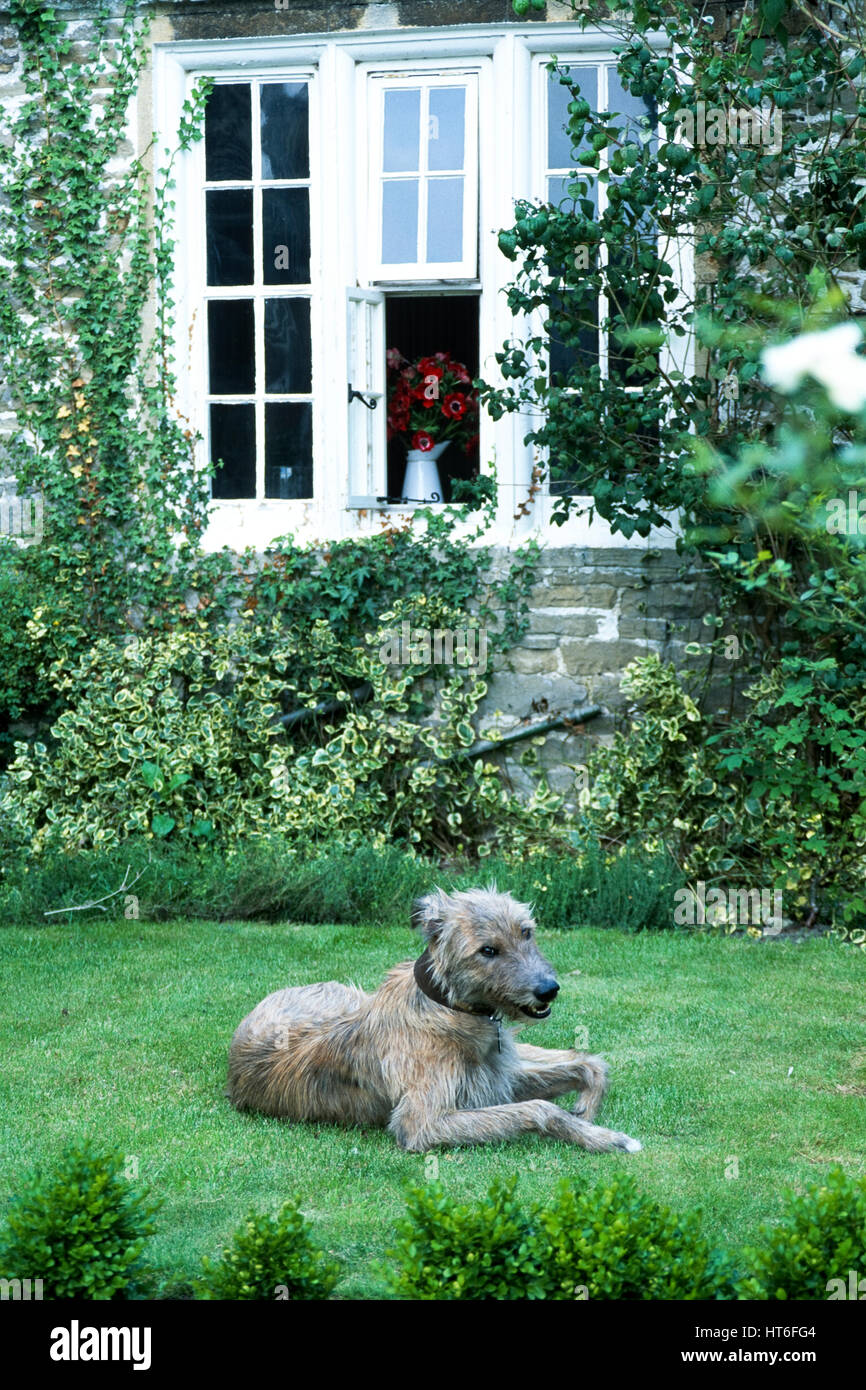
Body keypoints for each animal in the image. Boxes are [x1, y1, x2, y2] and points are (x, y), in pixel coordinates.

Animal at [226, 884, 639, 1156]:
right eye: (487, 950)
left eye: (526, 931)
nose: (548, 990)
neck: (447, 1006)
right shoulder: (425, 1123)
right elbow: (540, 1108)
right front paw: (603, 1137)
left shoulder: (495, 1080)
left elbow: (588, 1065)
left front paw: (586, 1114)